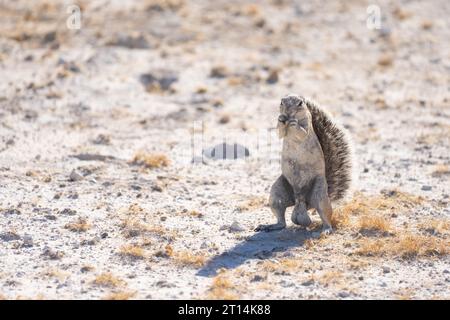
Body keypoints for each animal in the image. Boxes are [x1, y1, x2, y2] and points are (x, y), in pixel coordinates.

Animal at [256, 94, 352, 234]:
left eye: (300, 103)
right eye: (281, 102)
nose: (287, 112)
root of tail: (303, 202)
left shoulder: (307, 125)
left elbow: (302, 132)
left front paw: (294, 123)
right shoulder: (282, 130)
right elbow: (279, 132)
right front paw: (280, 119)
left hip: (320, 194)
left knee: (325, 214)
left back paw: (326, 229)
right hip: (277, 193)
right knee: (281, 220)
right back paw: (270, 226)